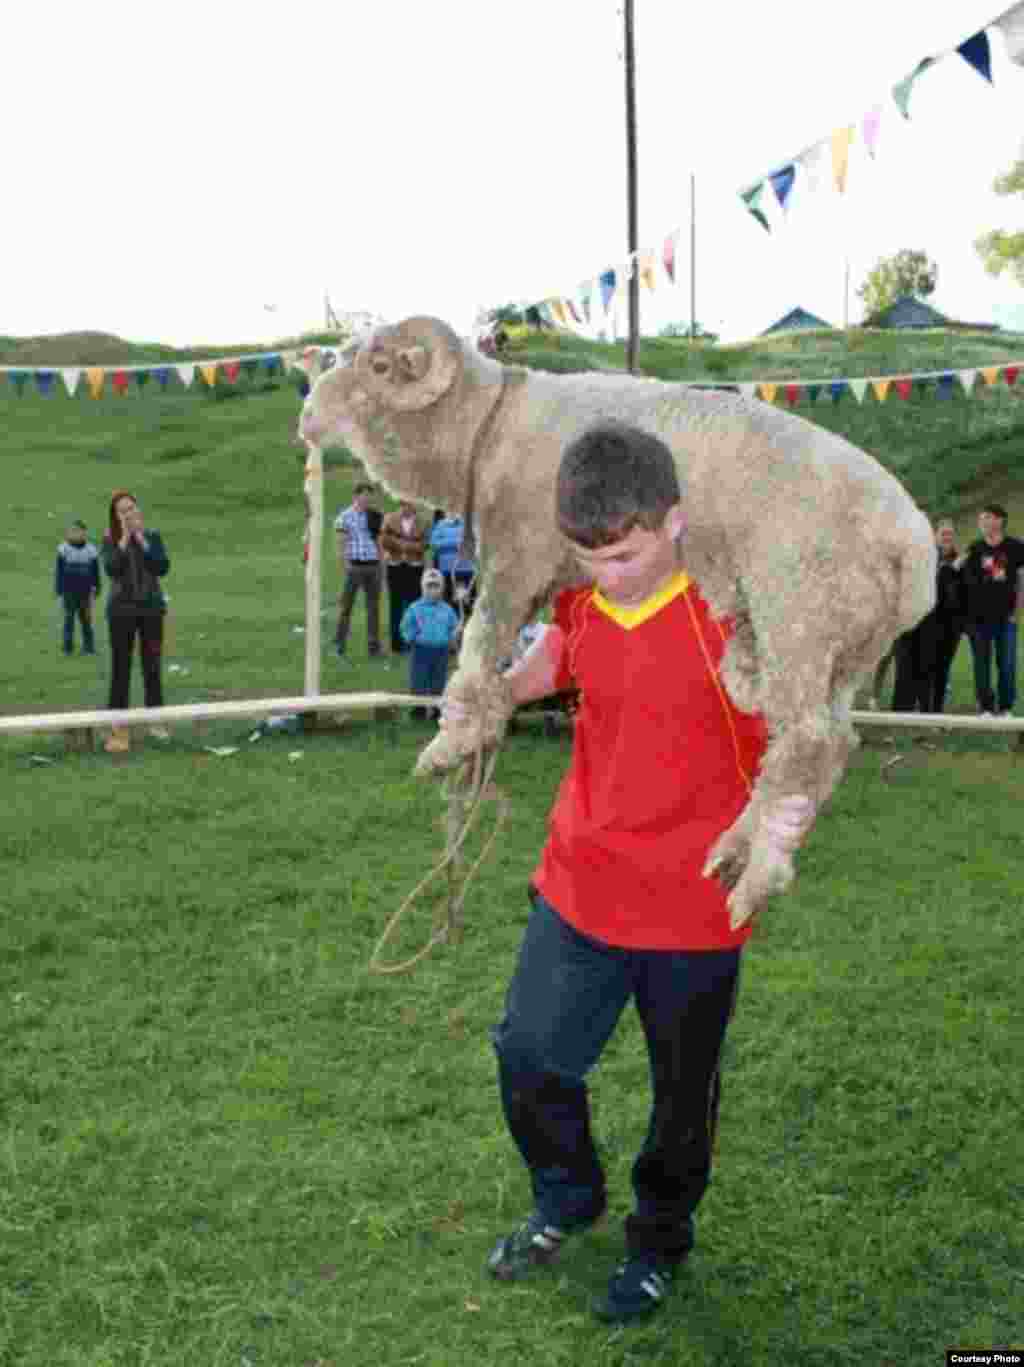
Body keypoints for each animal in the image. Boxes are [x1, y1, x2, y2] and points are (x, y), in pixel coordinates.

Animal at [298, 314, 935, 924]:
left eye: (380, 366)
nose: (306, 418)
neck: (486, 427)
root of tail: (915, 553)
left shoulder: (517, 557)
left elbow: (480, 642)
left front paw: (450, 741)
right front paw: (485, 721)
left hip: (798, 610)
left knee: (805, 742)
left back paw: (756, 876)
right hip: (846, 647)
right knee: (832, 743)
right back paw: (740, 845)